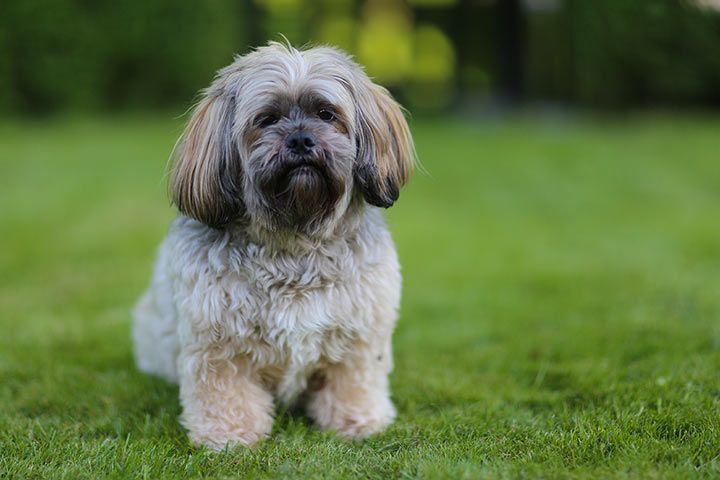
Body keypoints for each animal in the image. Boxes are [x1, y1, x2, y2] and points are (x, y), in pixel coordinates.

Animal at [134, 42, 416, 450]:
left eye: (326, 114)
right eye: (267, 119)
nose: (300, 139)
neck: (293, 242)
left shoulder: (360, 336)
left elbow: (353, 381)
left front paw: (357, 421)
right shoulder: (218, 342)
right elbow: (225, 391)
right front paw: (229, 435)